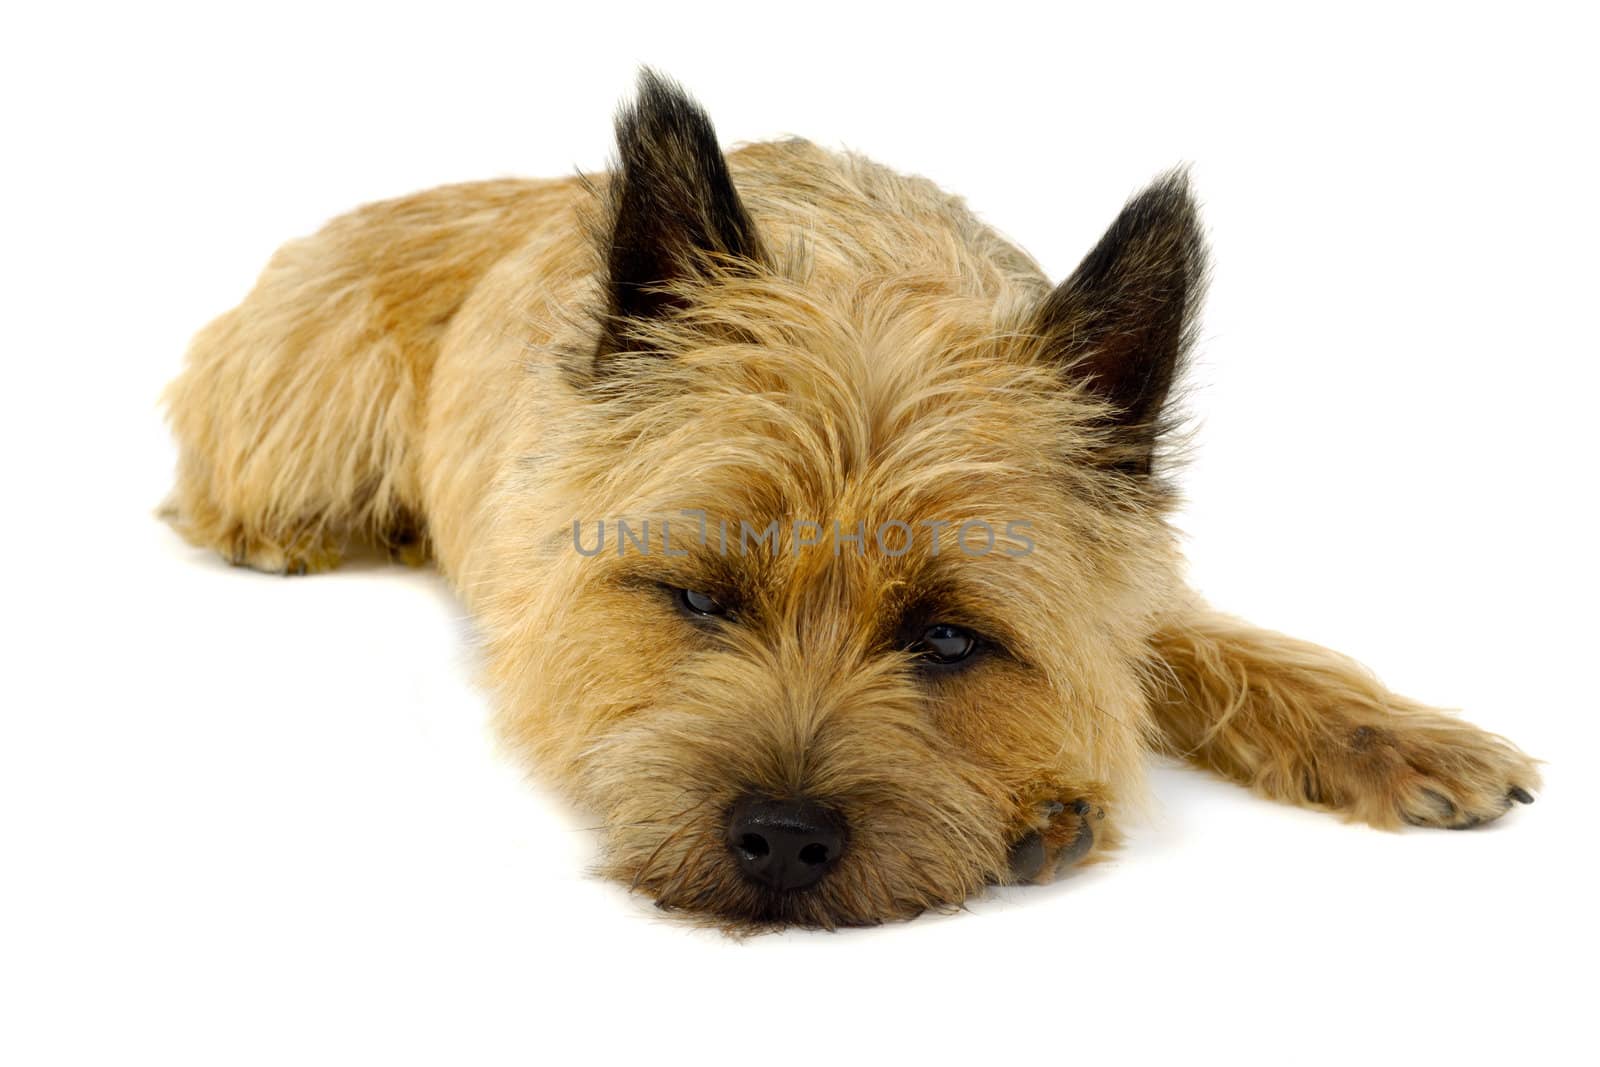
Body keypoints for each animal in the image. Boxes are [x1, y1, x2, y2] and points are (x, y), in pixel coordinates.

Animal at [159, 73, 1536, 927]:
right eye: (699, 598)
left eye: (949, 638)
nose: (781, 838)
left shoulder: (1118, 591)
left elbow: (1211, 645)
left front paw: (1398, 736)